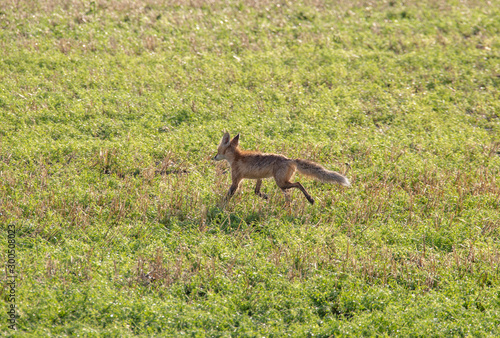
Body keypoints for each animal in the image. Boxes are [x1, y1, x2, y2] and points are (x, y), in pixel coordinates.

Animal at [213, 132, 350, 205]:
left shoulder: (236, 180)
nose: (213, 157)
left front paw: (221, 205)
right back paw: (290, 203)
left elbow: (229, 194)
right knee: (290, 191)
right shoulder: (259, 178)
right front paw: (266, 197)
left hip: (281, 183)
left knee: (298, 184)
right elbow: (256, 192)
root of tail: (289, 159)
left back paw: (310, 199)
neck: (237, 157)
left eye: (218, 151)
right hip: (283, 183)